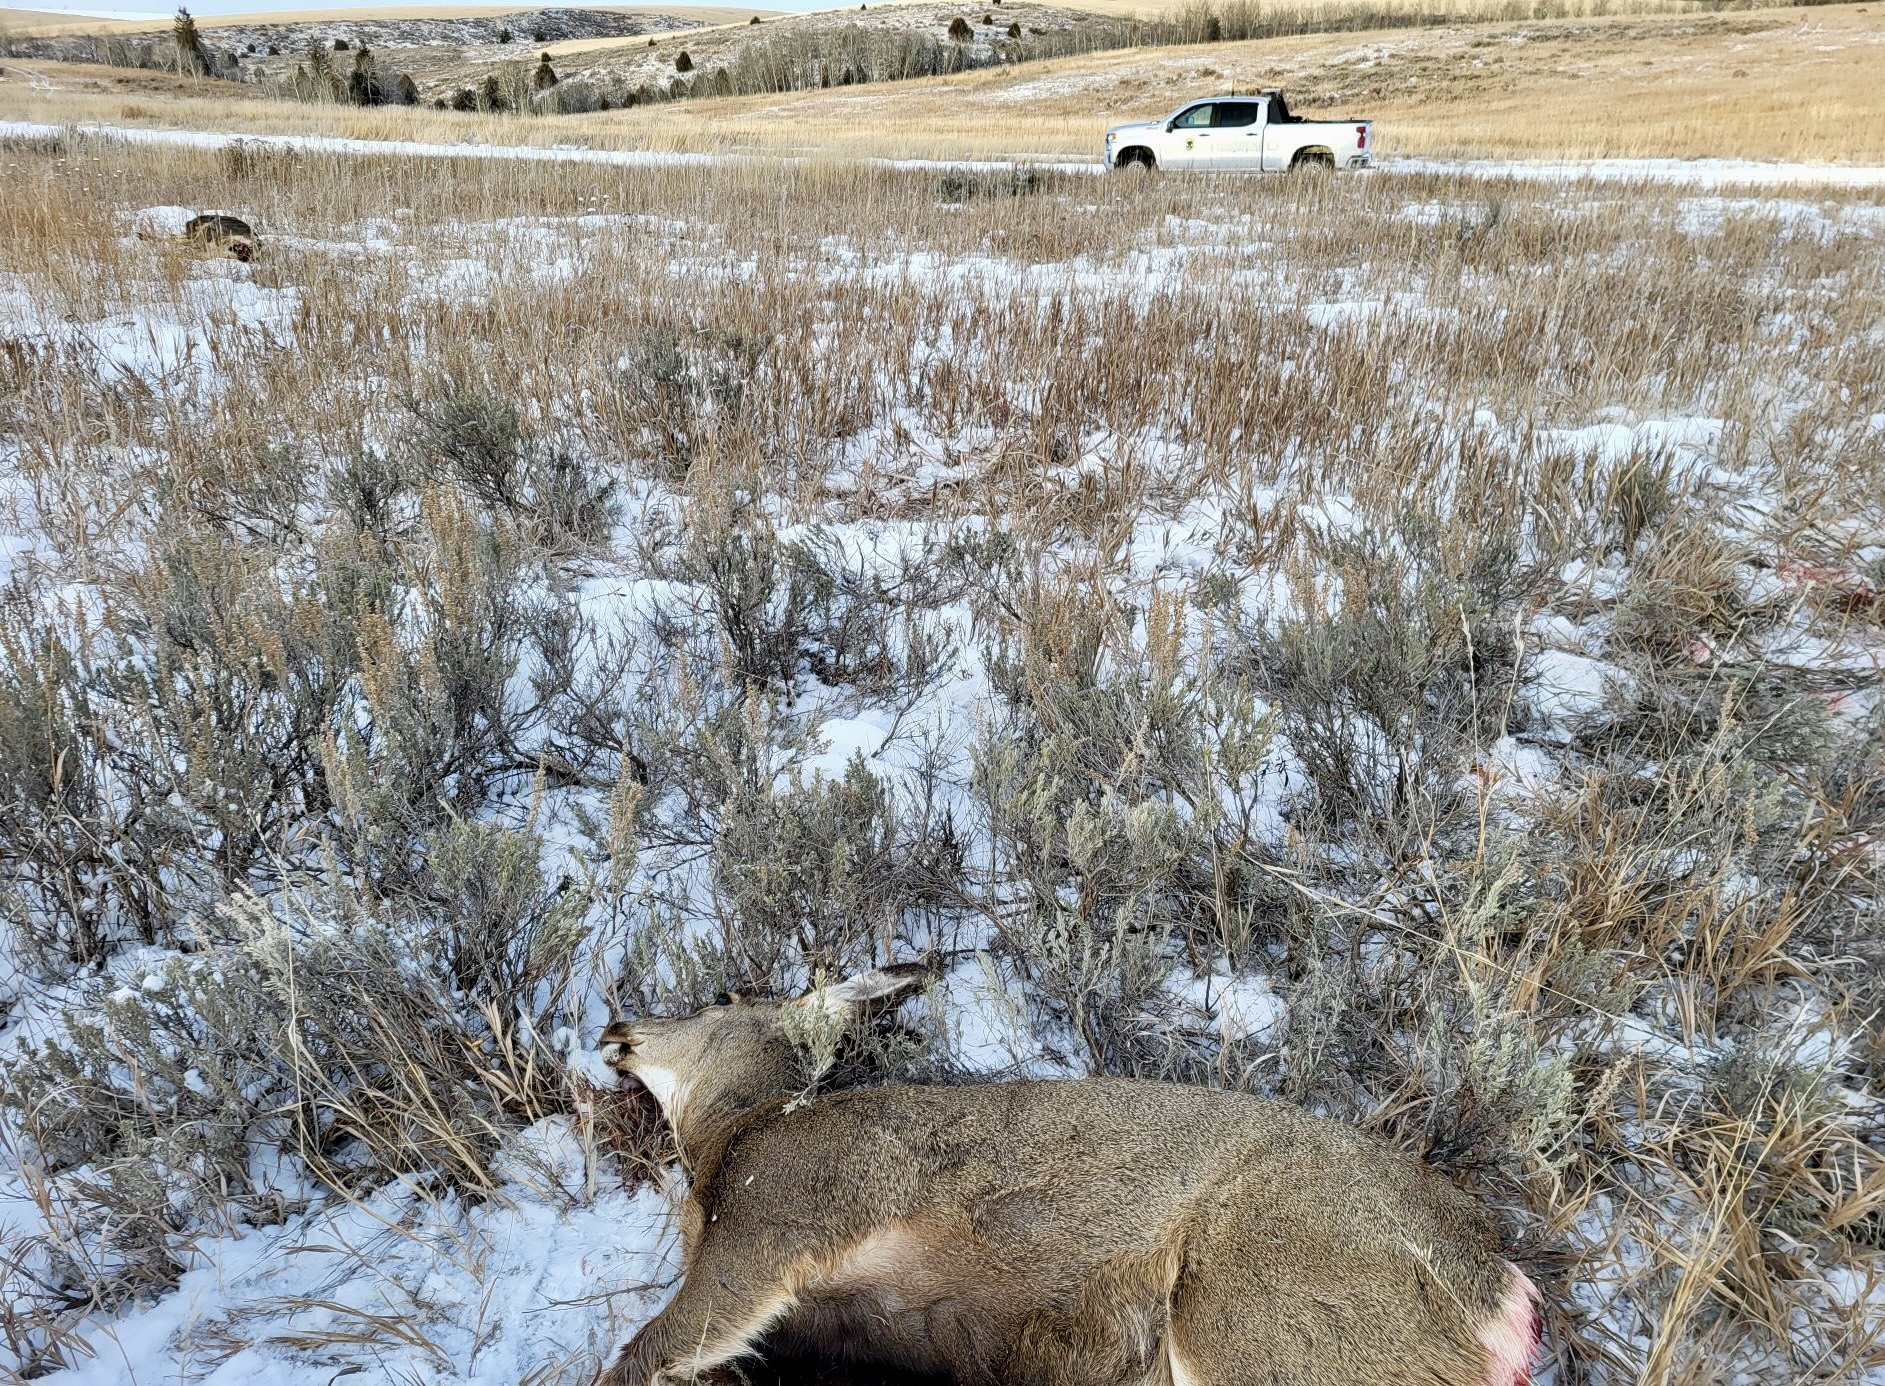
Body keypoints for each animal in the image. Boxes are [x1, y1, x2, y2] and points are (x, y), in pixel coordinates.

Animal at [591, 968, 1542, 1386]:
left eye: (719, 1000)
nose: (617, 1026)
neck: (738, 1136)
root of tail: (1499, 1280)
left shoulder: (778, 1220)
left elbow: (643, 1352)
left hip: (1263, 1315)